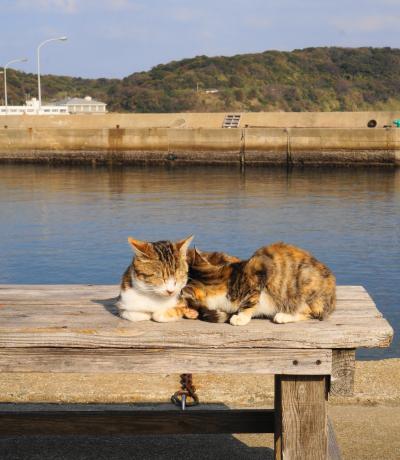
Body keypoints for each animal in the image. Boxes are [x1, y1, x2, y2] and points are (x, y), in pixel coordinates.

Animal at [183, 243, 336, 326]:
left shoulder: (260, 268)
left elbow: (251, 299)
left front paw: (241, 317)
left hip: (306, 282)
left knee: (313, 313)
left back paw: (284, 316)